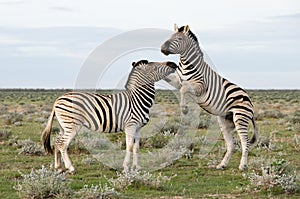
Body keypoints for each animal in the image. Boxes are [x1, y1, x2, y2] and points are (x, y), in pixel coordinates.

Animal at [41, 59, 177, 173]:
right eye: (154, 67)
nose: (173, 64)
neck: (137, 99)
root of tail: (57, 100)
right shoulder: (130, 126)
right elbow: (129, 146)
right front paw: (126, 167)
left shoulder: (138, 128)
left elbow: (136, 147)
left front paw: (137, 167)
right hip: (72, 125)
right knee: (63, 144)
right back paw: (71, 168)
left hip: (63, 125)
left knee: (57, 142)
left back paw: (59, 167)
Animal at [162, 24, 258, 171]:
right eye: (170, 37)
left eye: (178, 39)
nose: (162, 48)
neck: (186, 65)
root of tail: (249, 98)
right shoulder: (177, 81)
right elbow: (173, 81)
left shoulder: (199, 86)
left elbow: (184, 90)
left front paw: (184, 108)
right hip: (226, 121)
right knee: (231, 144)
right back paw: (222, 164)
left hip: (240, 117)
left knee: (245, 142)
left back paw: (242, 165)